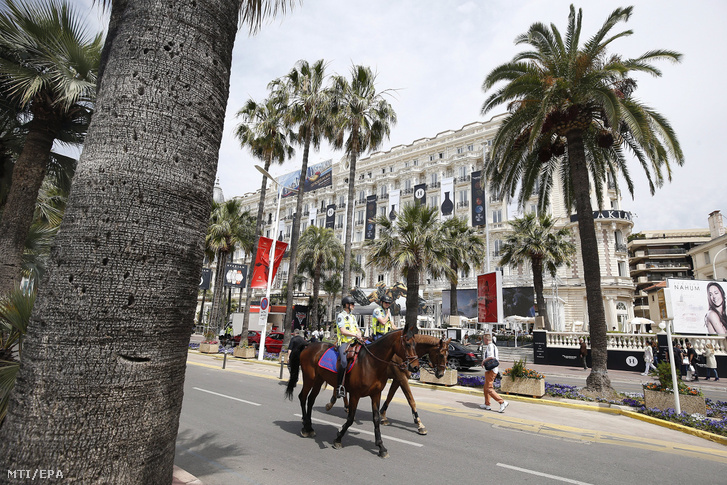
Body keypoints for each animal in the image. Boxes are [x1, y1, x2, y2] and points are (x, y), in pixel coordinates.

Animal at [286, 328, 420, 456]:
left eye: (415, 344)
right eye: (407, 344)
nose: (415, 367)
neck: (371, 363)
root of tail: (308, 345)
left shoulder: (376, 394)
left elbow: (376, 419)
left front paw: (381, 447)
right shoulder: (355, 395)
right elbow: (350, 418)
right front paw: (338, 439)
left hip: (319, 380)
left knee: (311, 400)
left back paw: (309, 427)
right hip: (309, 378)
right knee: (303, 397)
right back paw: (305, 428)